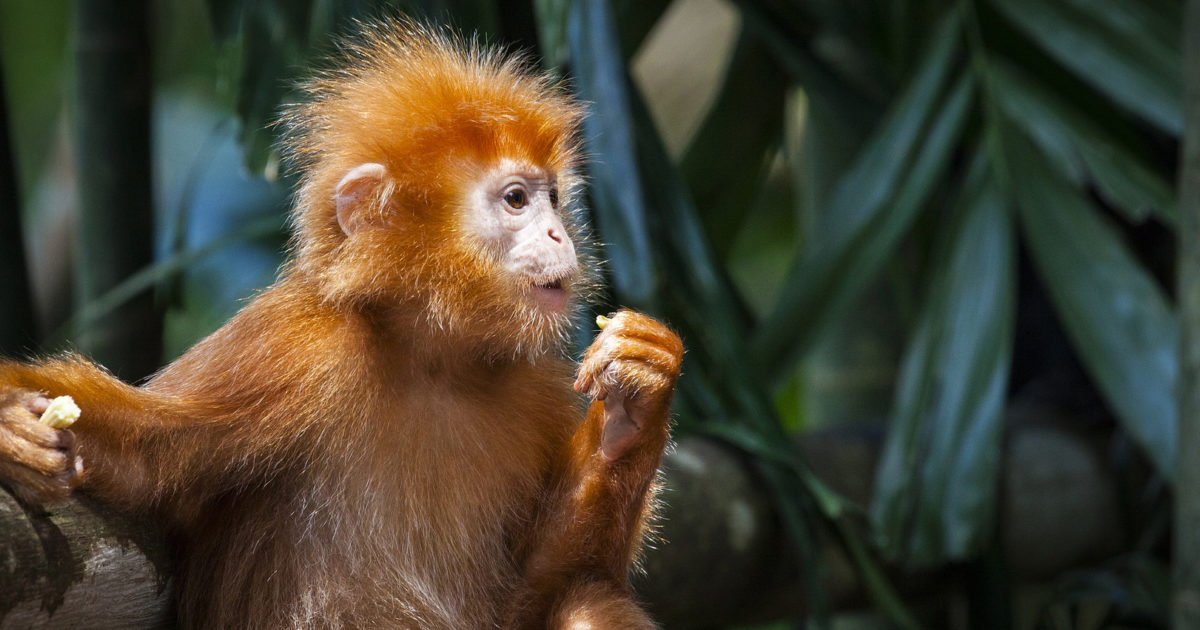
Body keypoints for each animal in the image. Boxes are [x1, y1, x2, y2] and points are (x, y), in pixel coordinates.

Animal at [0, 20, 682, 630]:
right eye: (517, 199)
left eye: (555, 200)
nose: (559, 233)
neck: (429, 362)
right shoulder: (293, 347)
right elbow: (142, 454)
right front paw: (14, 432)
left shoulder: (534, 384)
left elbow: (554, 580)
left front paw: (636, 398)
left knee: (587, 600)